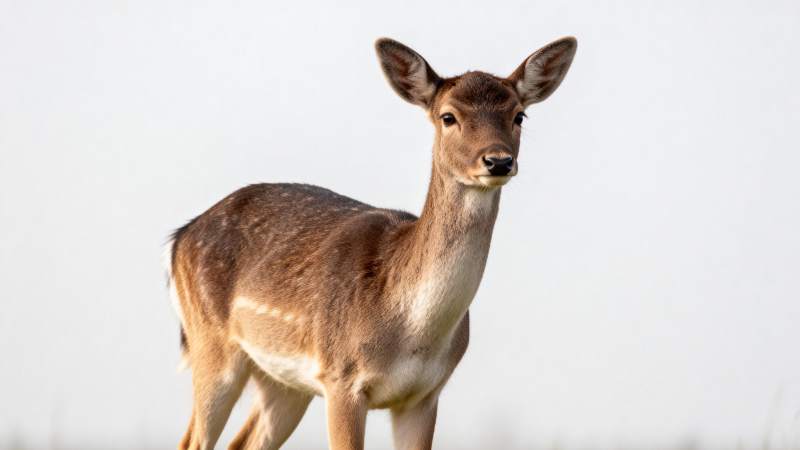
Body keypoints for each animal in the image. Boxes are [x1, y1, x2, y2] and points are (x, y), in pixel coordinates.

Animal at [165, 36, 577, 450]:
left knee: (243, 441)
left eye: (519, 115)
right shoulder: (341, 378)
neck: (411, 331)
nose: (498, 161)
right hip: (211, 345)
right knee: (193, 440)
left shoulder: (425, 395)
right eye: (448, 117)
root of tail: (180, 236)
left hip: (283, 381)